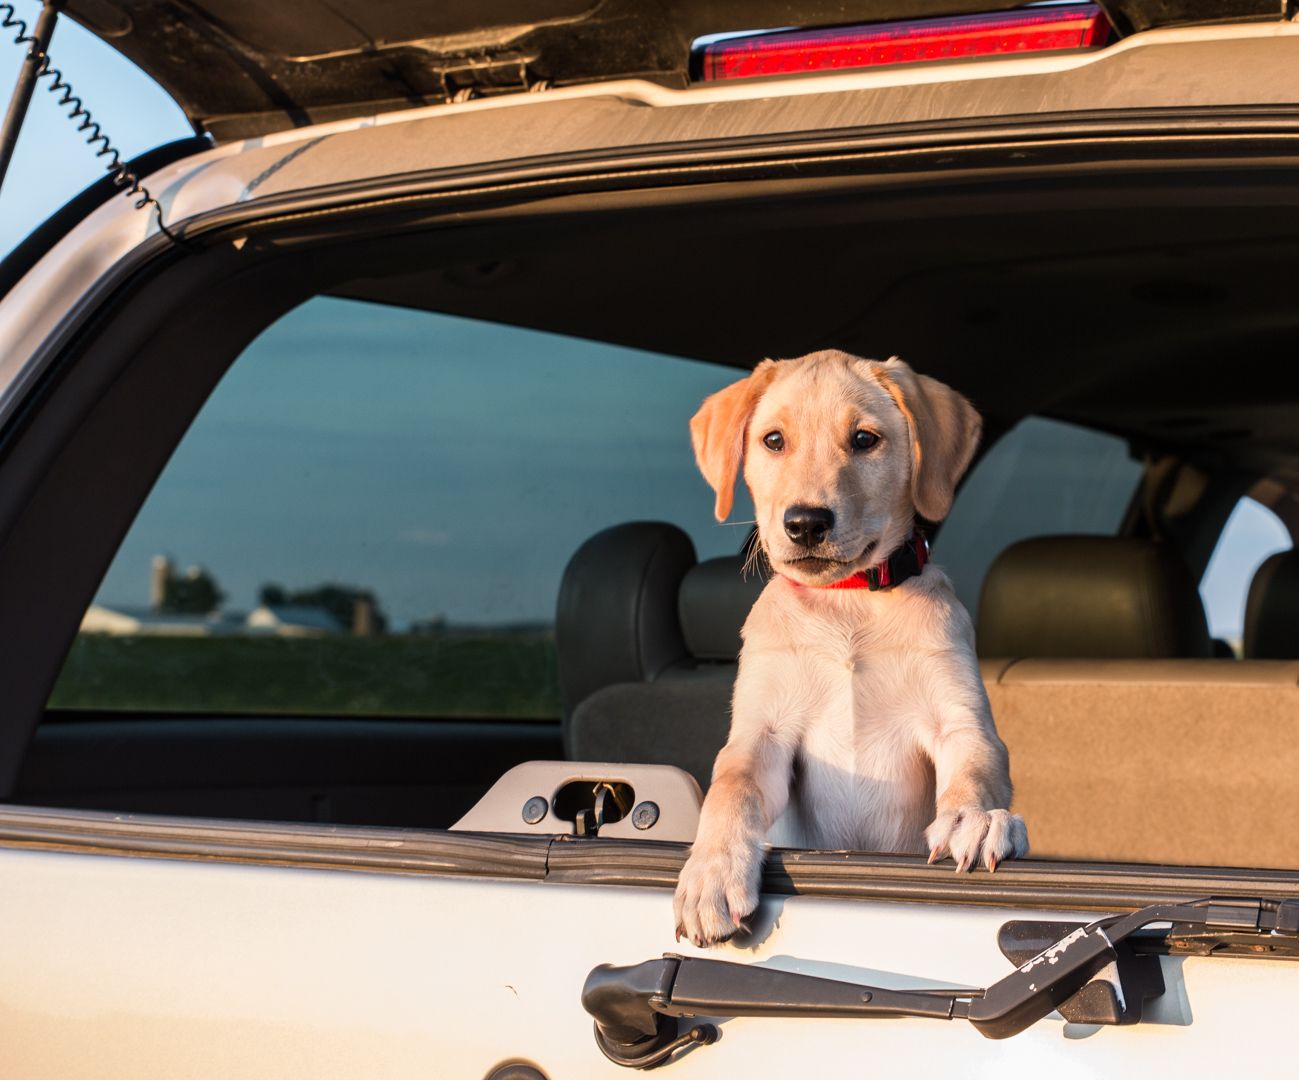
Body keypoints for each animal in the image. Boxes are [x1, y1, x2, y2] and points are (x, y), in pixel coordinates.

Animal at [675, 353, 1028, 946]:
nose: (805, 523)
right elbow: (732, 789)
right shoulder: (763, 734)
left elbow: (976, 768)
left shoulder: (960, 720)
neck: (849, 603)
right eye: (774, 440)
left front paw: (976, 820)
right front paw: (711, 874)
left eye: (865, 439)